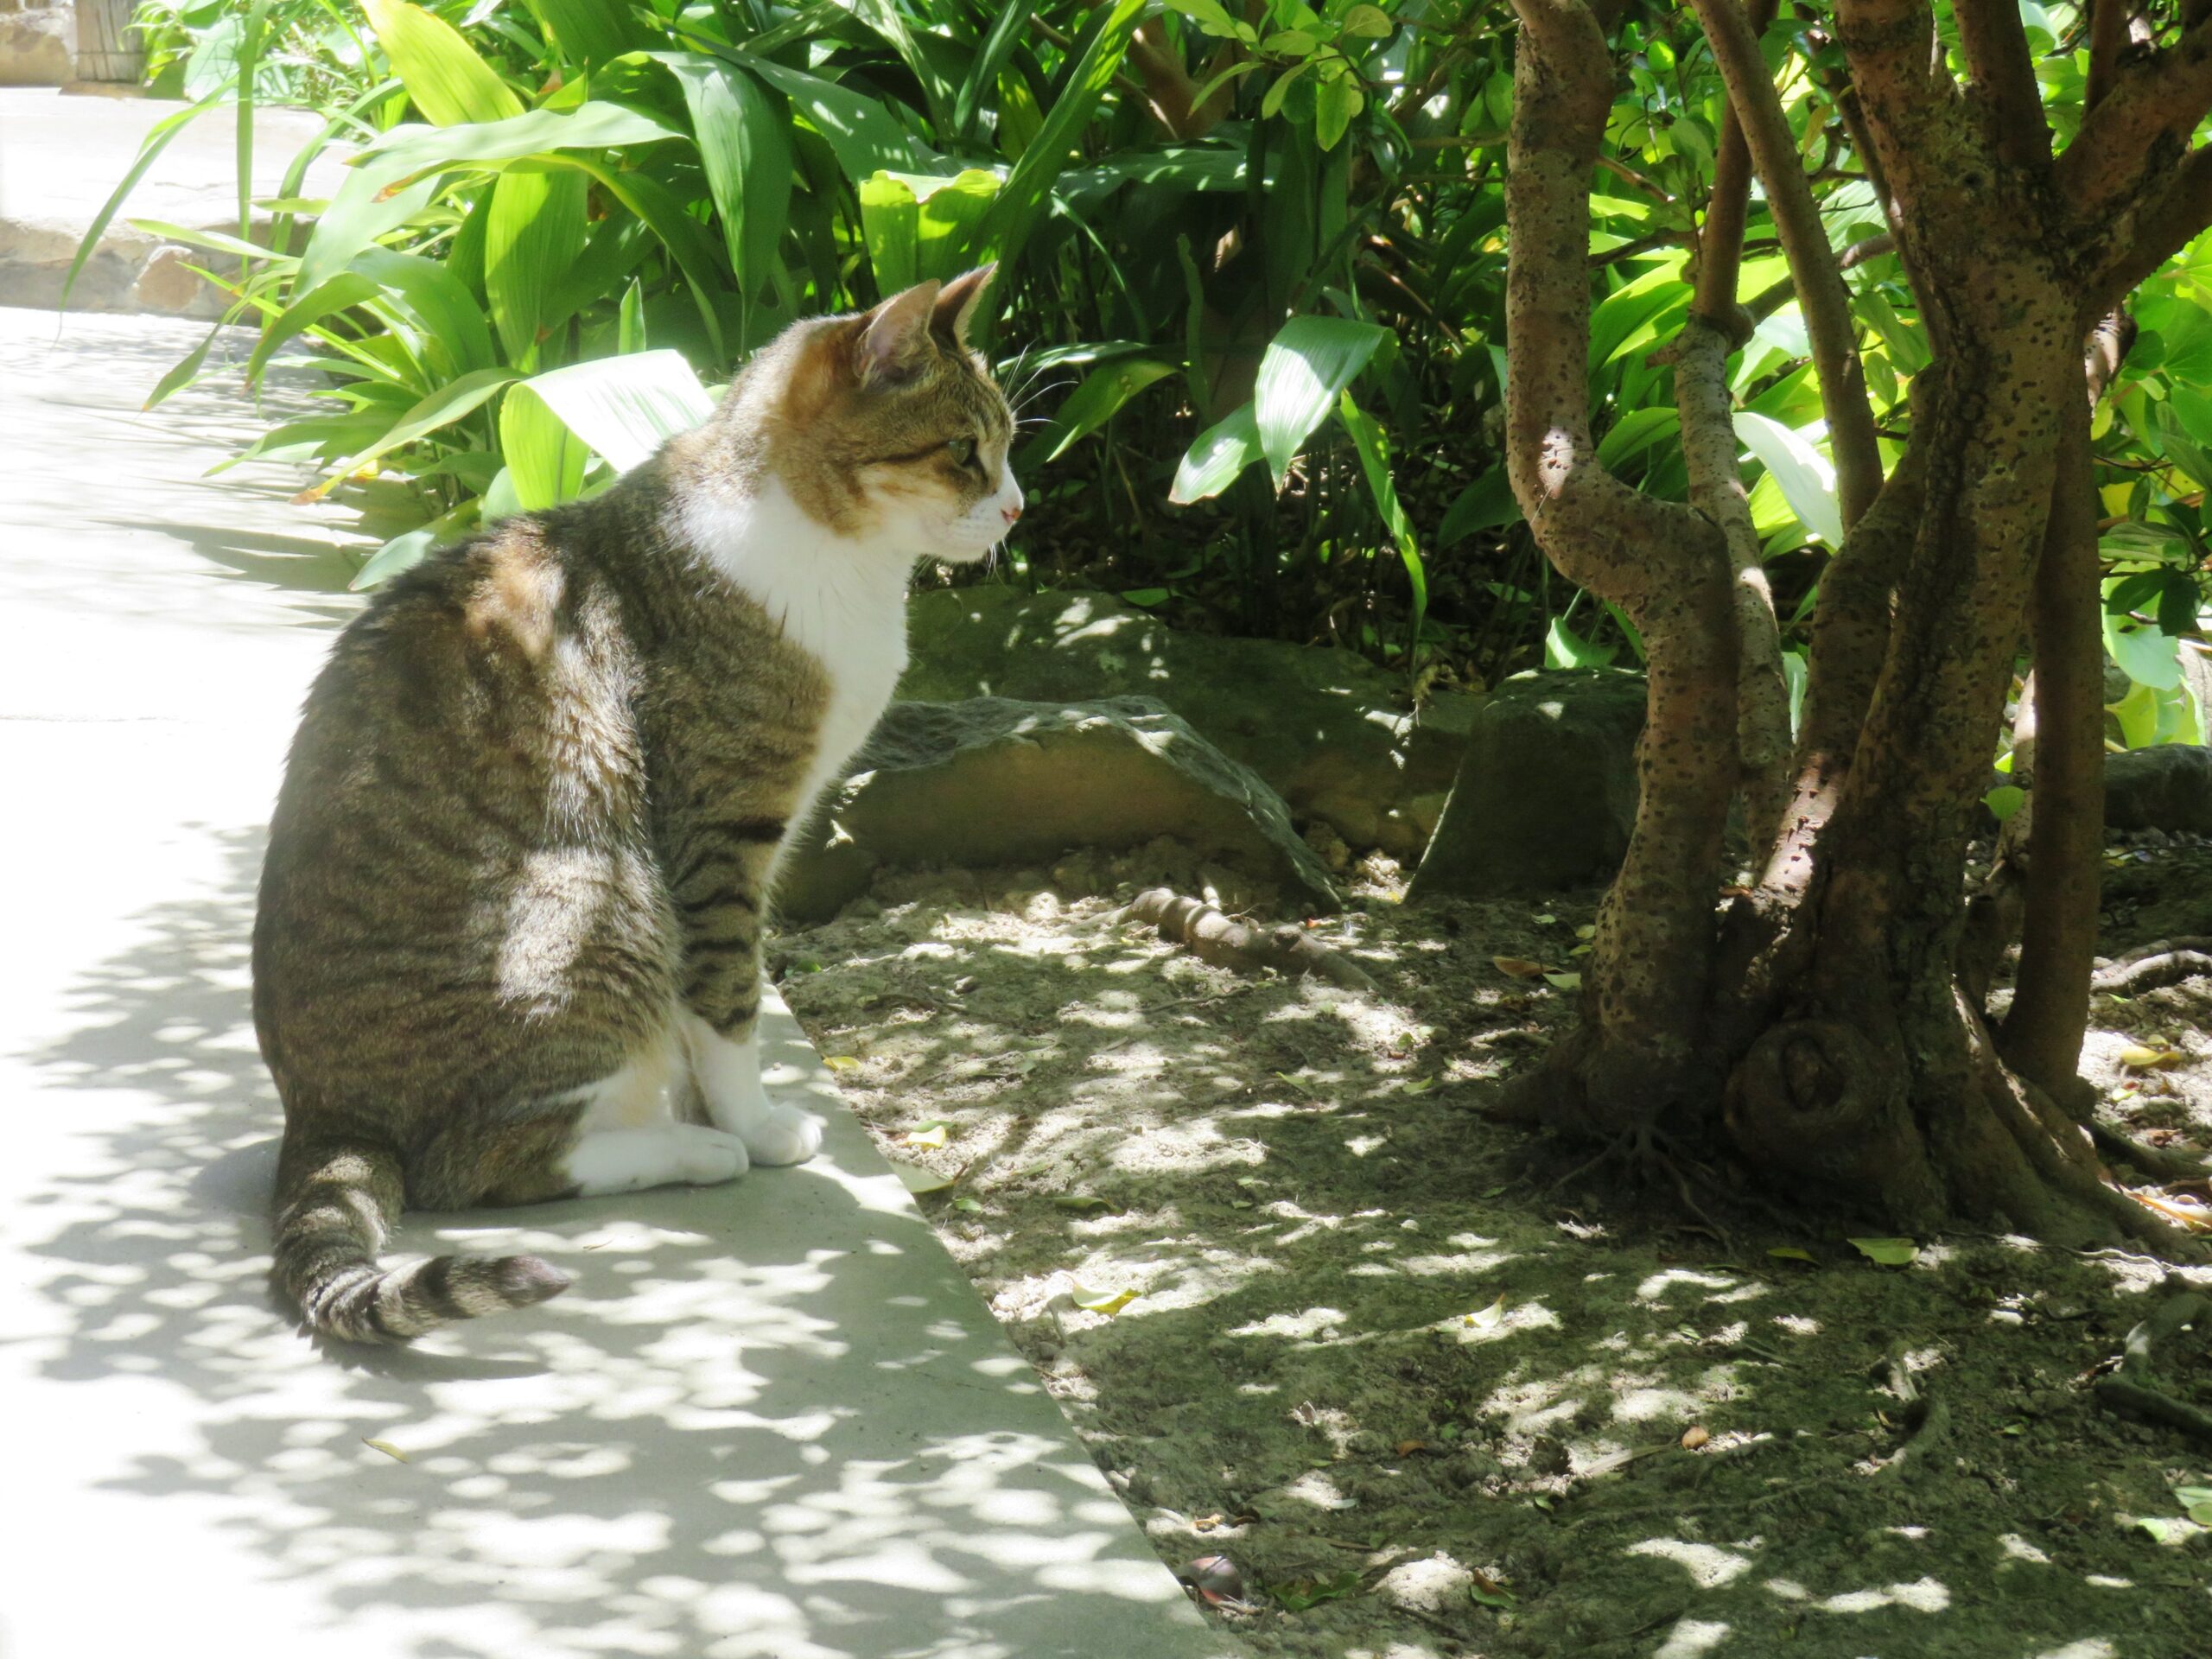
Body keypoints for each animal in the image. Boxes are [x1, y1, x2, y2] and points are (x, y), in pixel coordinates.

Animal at [256, 266, 1017, 1344]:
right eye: (961, 450)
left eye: (1009, 443)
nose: (1018, 511)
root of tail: (321, 1115)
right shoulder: (721, 831)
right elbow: (729, 1000)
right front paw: (750, 1125)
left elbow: (704, 1016)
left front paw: (708, 1103)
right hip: (599, 905)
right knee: (481, 1169)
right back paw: (691, 1153)